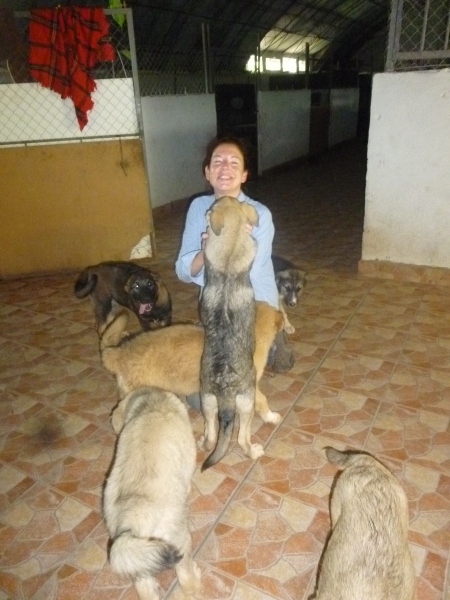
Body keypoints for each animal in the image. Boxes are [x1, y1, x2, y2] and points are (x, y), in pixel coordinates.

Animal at [102, 386, 201, 600]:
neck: (150, 402)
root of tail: (133, 523)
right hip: (178, 541)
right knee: (186, 577)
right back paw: (195, 582)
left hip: (135, 558)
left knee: (145, 588)